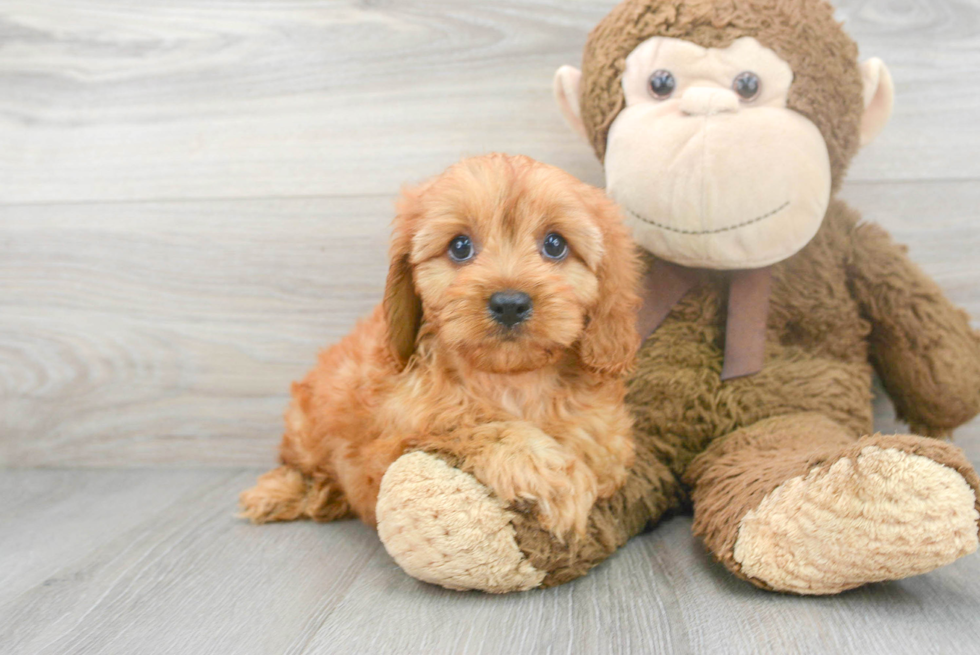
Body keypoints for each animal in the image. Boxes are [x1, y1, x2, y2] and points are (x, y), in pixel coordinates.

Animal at [240, 154, 640, 540]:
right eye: (460, 247)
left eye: (555, 245)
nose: (510, 303)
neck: (510, 380)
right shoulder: (386, 447)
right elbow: (464, 424)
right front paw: (545, 473)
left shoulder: (607, 441)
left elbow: (597, 452)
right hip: (306, 424)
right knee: (300, 463)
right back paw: (285, 493)